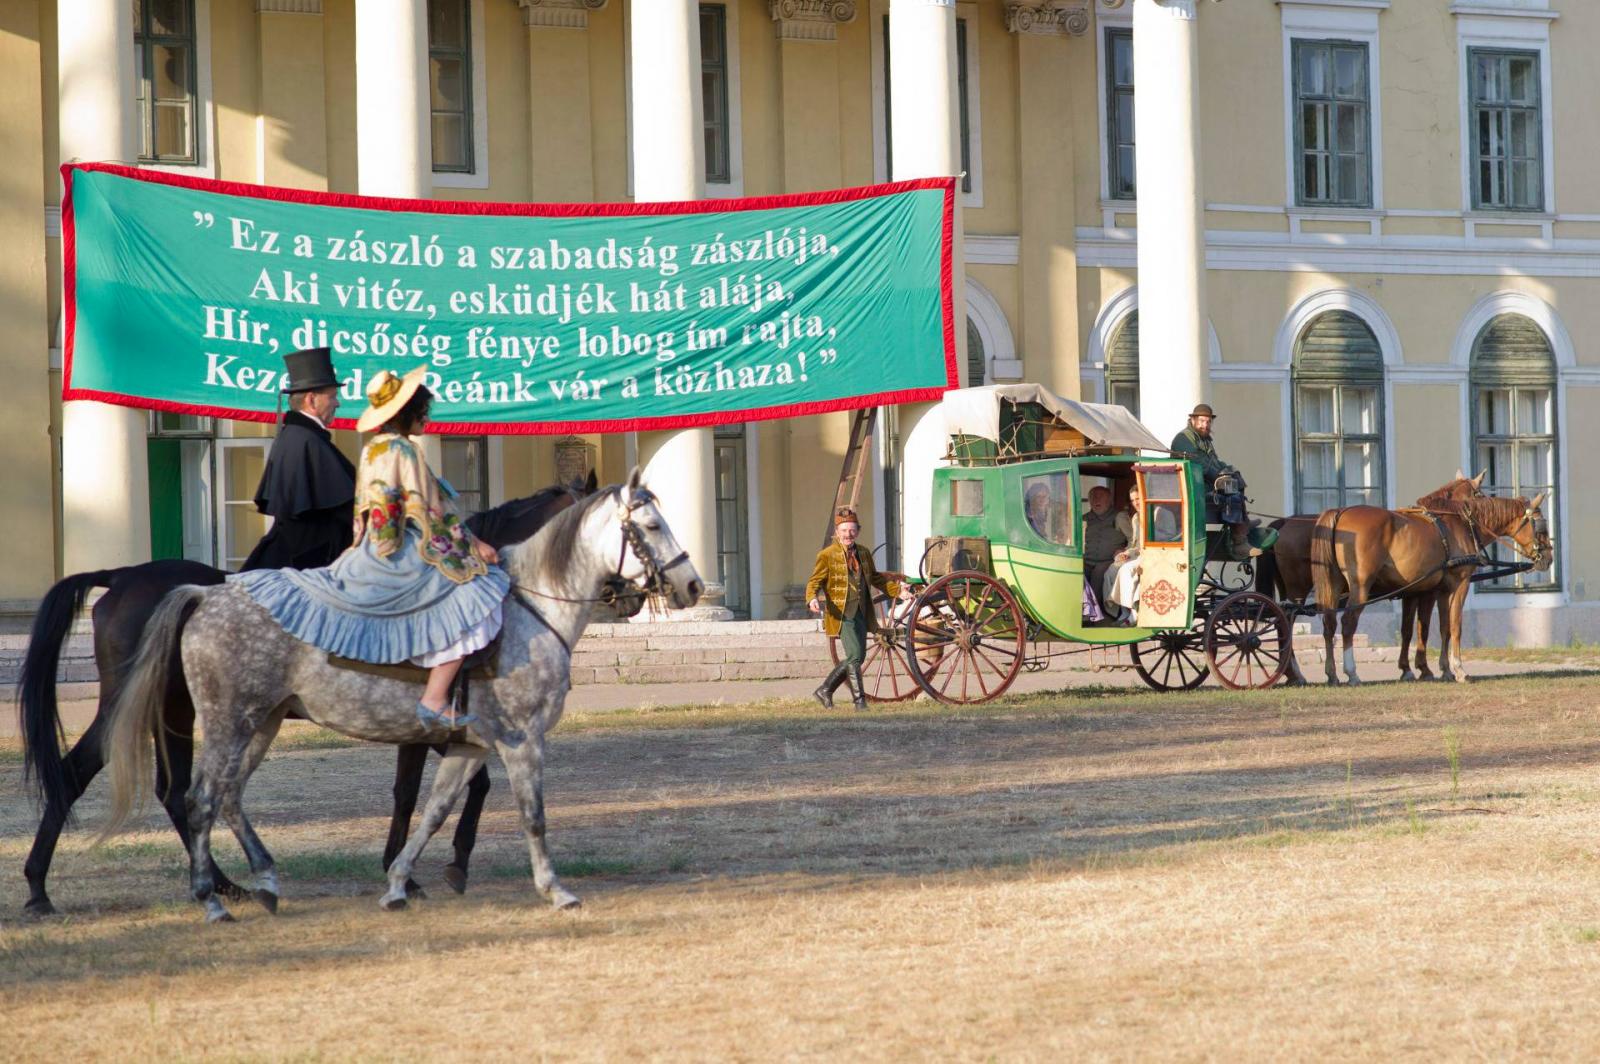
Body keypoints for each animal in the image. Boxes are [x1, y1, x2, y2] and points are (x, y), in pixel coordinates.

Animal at [98, 467, 700, 921]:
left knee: (228, 797)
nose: (692, 586)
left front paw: (398, 884)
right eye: (650, 524)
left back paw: (264, 882)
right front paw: (556, 890)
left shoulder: (469, 746)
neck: (530, 608)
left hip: (260, 724)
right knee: (199, 800)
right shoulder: (521, 740)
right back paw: (213, 899)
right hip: (226, 724)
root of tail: (205, 594)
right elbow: (531, 815)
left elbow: (435, 809)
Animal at [1312, 486, 1548, 681]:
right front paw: (1458, 669)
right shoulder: (1458, 584)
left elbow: (1440, 628)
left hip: (1334, 585)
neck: (1460, 524)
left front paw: (1443, 669)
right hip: (1360, 585)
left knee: (1329, 623)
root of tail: (1340, 512)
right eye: (1541, 527)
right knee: (1348, 623)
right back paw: (1351, 672)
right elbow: (1455, 625)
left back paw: (1332, 673)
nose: (1548, 557)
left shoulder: (1437, 590)